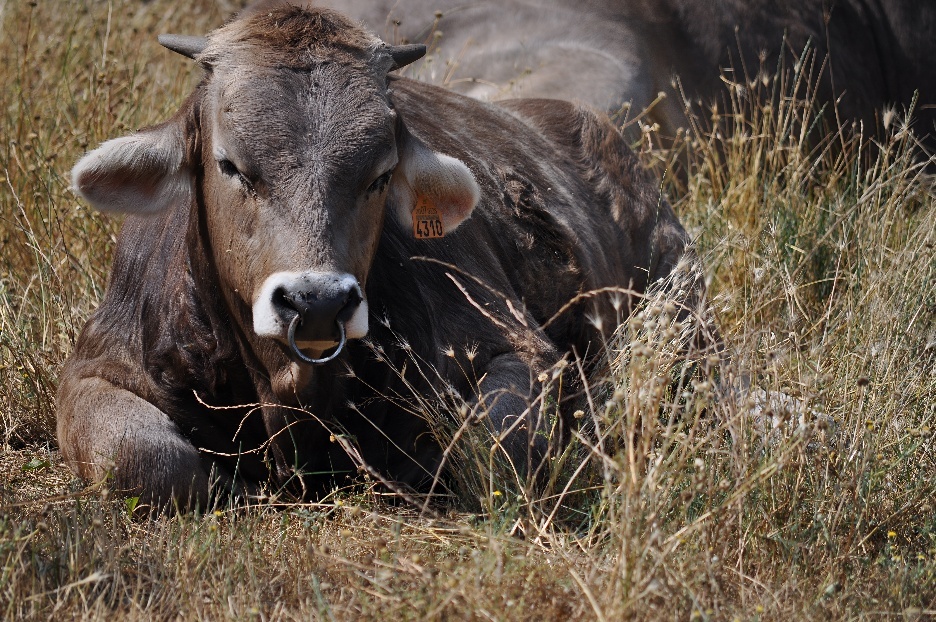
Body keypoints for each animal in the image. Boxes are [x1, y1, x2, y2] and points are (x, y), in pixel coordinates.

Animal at [57, 4, 714, 511]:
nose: (317, 303)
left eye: (379, 175)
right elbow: (146, 459)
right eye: (230, 165)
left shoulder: (519, 347)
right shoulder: (97, 365)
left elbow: (491, 450)